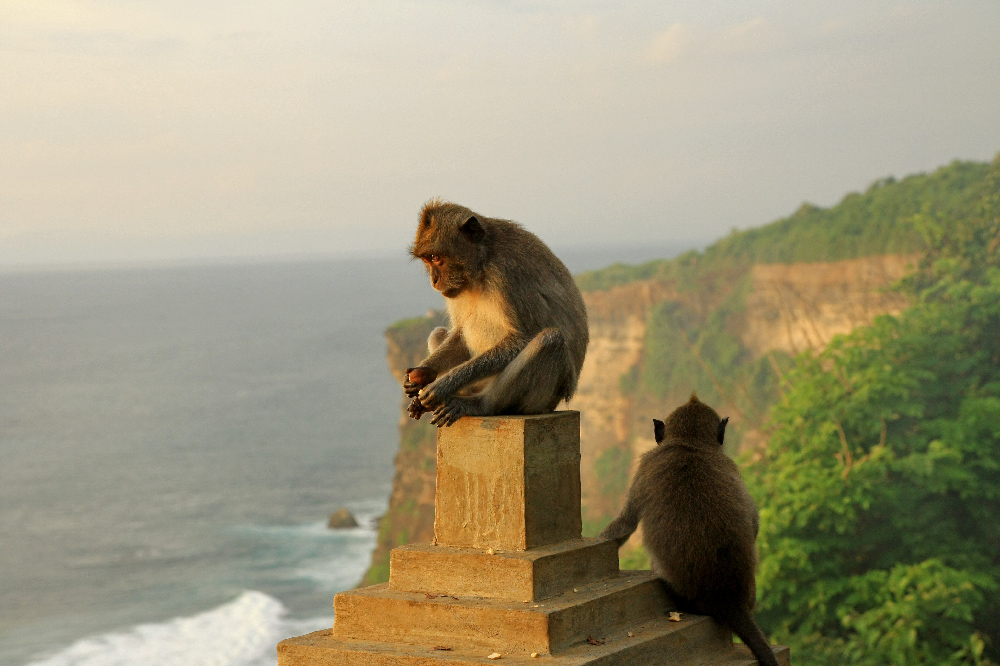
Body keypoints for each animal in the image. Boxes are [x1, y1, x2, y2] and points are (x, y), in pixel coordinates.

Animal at [404, 198, 584, 426]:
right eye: (427, 260)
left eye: (436, 258)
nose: (434, 280)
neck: (482, 263)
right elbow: (459, 335)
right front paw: (424, 372)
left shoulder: (507, 274)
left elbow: (521, 338)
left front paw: (444, 385)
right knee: (439, 332)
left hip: (544, 399)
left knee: (550, 340)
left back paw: (480, 404)